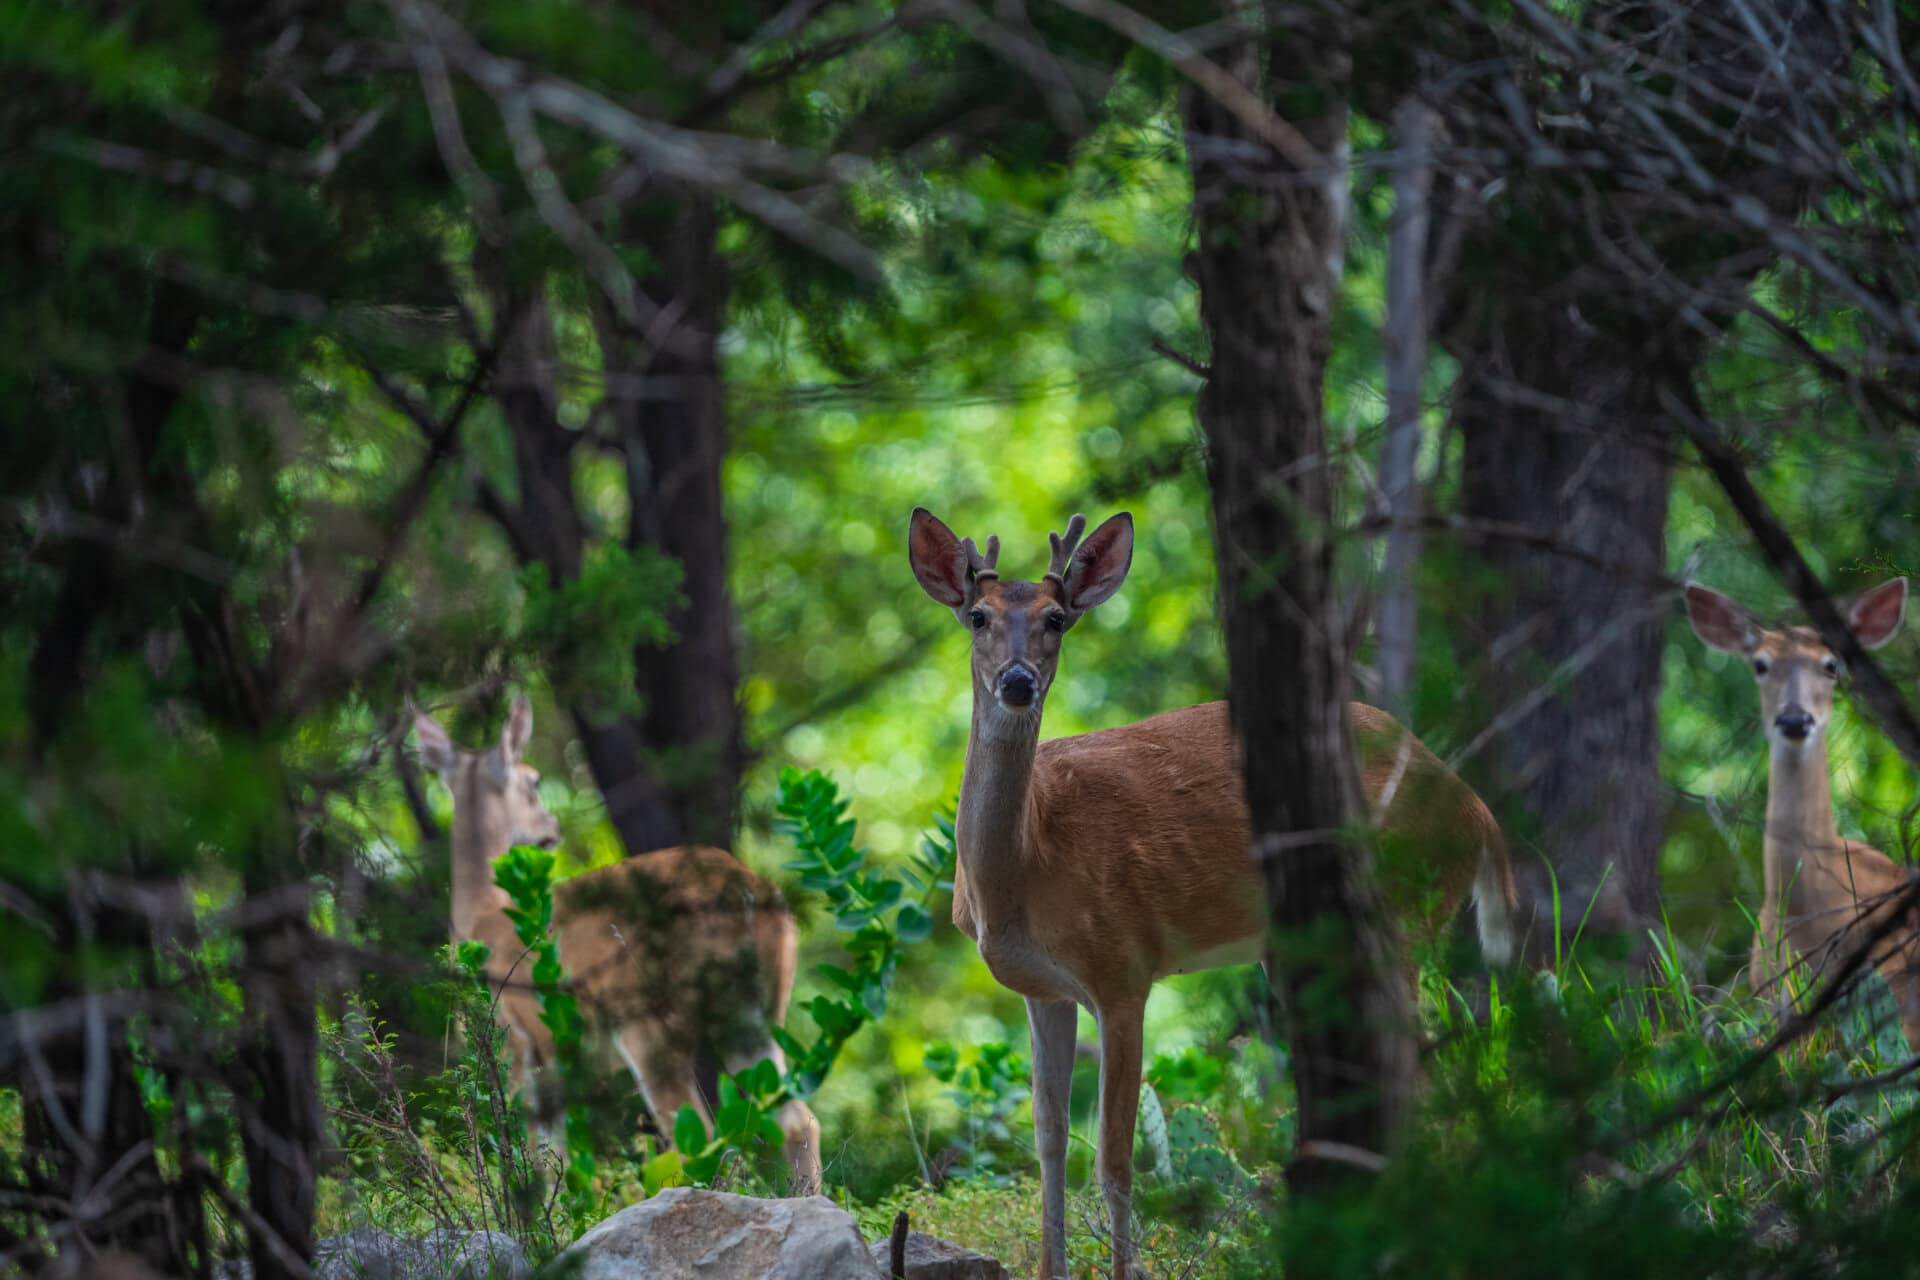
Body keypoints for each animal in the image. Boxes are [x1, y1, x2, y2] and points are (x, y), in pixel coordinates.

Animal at [409, 694, 822, 1193]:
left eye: (534, 779)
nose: (551, 829)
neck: (482, 915)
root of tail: (745, 888)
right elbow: (555, 1154)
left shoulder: (512, 1031)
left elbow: (525, 1151)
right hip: (756, 1008)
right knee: (797, 1119)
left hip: (647, 1014)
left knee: (697, 1132)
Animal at [907, 507, 1522, 1279]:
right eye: (978, 615)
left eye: (1056, 619)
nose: (1018, 682)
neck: (1024, 866)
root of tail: (1477, 808)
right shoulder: (1042, 990)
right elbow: (1049, 1144)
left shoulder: (1123, 968)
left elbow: (1114, 1161)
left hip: (1407, 908)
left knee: (1424, 1058)